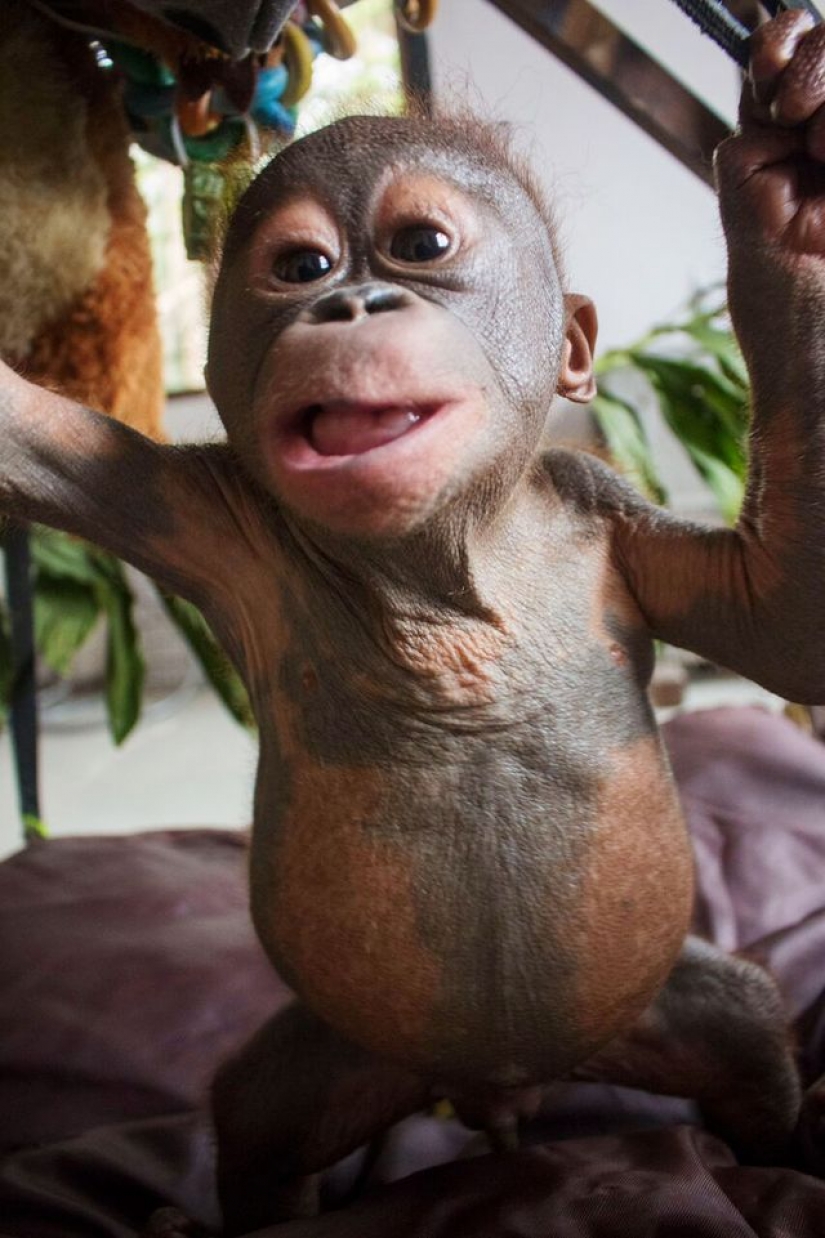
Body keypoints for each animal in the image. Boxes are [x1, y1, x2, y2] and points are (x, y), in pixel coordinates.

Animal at [3, 10, 825, 1234]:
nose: (350, 304)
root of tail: (500, 1091)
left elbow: (779, 617)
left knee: (742, 1023)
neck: (438, 562)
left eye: (422, 247)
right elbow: (31, 445)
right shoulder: (196, 512)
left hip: (653, 1012)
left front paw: (783, 198)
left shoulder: (606, 513)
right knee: (258, 1108)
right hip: (345, 1055)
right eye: (300, 268)